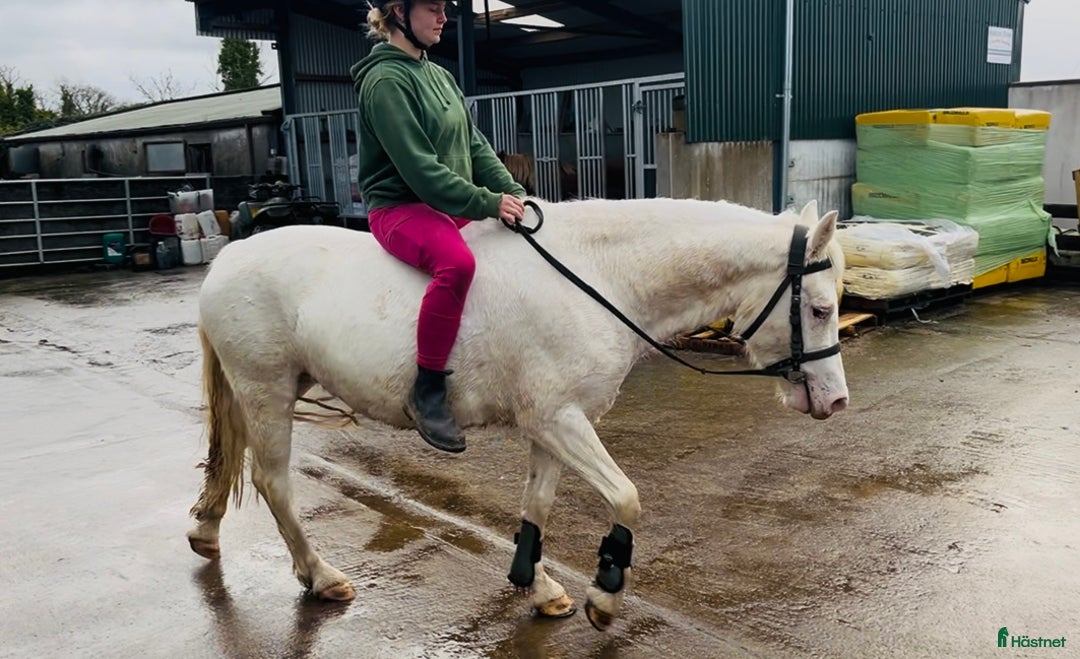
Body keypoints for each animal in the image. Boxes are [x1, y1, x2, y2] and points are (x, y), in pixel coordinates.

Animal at [186, 197, 849, 631]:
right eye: (819, 309)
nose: (837, 402)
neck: (600, 278)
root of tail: (229, 258)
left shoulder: (552, 424)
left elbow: (538, 503)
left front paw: (539, 585)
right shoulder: (561, 419)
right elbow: (627, 496)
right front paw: (605, 594)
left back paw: (206, 531)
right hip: (267, 389)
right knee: (273, 481)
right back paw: (320, 576)